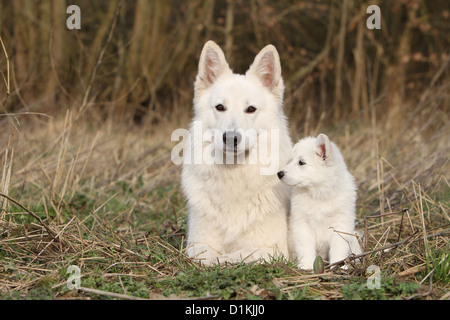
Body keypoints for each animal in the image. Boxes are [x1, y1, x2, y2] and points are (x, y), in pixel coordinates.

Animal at [278, 132, 362, 270]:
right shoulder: (302, 224)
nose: (279, 174)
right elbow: (306, 248)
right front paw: (306, 266)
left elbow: (339, 248)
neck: (319, 193)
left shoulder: (340, 225)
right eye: (291, 161)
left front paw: (338, 266)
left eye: (301, 162)